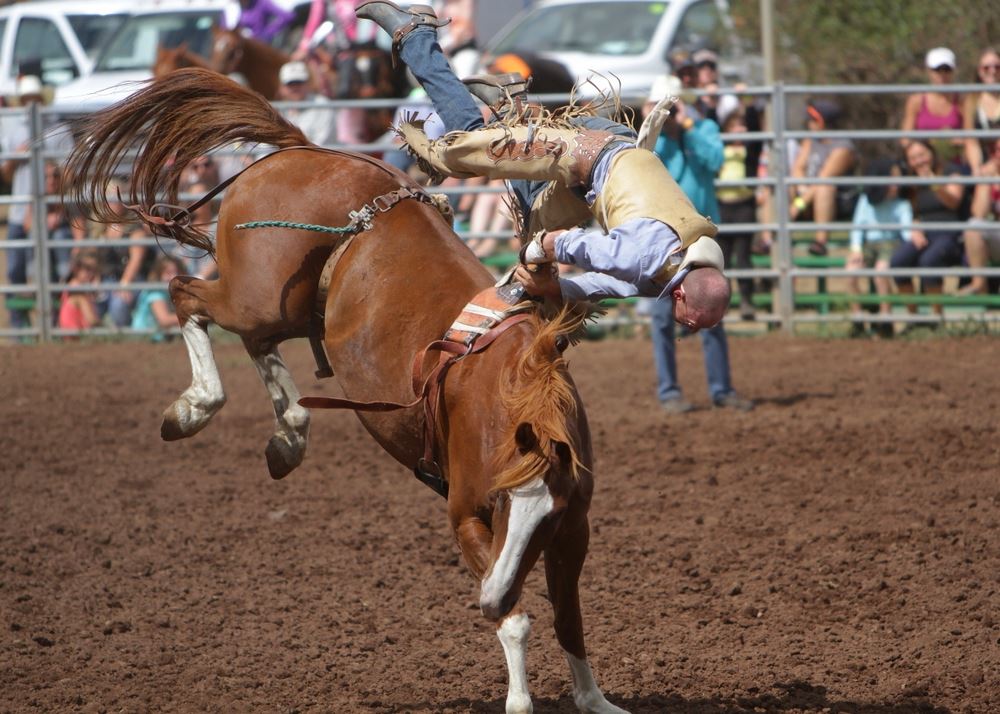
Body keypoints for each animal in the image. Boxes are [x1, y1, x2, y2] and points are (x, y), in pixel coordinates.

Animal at [63, 68, 628, 714]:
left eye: (545, 512)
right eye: (501, 502)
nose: (487, 597)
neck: (509, 392)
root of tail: (301, 152)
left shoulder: (572, 528)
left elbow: (569, 615)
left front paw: (594, 698)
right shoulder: (465, 513)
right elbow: (516, 620)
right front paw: (519, 696)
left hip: (285, 308)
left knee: (254, 340)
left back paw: (288, 435)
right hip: (255, 294)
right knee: (186, 295)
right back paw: (194, 409)